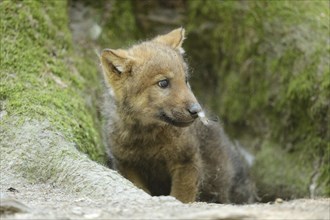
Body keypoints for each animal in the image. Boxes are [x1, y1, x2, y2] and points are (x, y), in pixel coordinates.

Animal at [102, 28, 254, 204]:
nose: (196, 110)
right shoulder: (126, 164)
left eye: (186, 80)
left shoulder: (187, 161)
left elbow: (181, 197)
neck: (147, 136)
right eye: (163, 83)